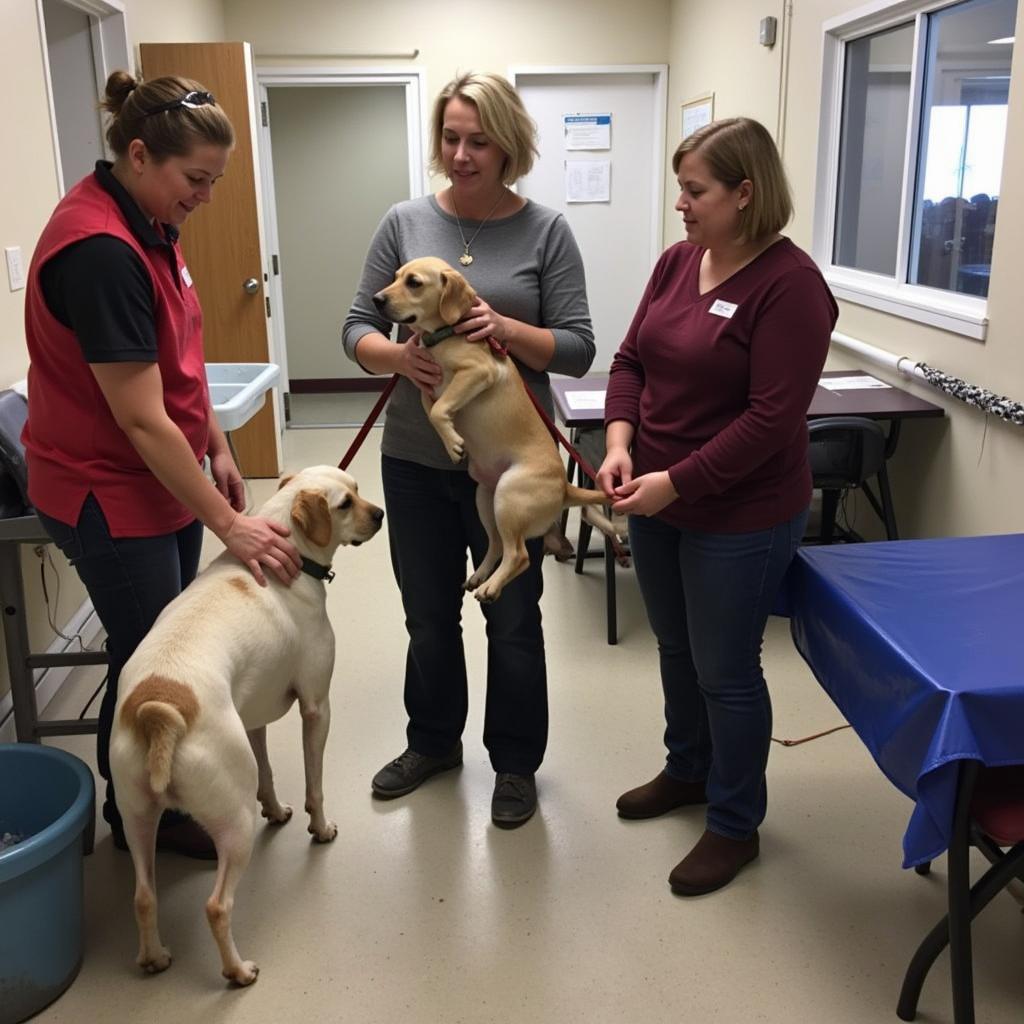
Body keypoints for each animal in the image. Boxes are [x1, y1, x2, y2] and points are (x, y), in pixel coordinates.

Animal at [107, 464, 385, 983]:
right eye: (345, 503)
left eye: (357, 488)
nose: (379, 513)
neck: (286, 545)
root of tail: (157, 705)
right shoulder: (317, 707)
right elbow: (315, 785)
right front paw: (320, 828)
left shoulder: (254, 719)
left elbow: (270, 776)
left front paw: (275, 811)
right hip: (233, 824)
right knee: (217, 906)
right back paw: (238, 971)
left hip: (138, 819)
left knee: (143, 897)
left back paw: (154, 957)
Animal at [374, 256, 618, 602]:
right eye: (395, 277)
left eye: (414, 282)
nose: (376, 299)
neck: (444, 336)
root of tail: (564, 488)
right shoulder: (426, 386)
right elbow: (433, 410)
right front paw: (451, 441)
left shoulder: (478, 372)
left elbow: (439, 410)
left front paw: (454, 443)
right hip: (485, 498)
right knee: (497, 545)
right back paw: (480, 575)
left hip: (508, 496)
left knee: (520, 555)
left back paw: (491, 586)